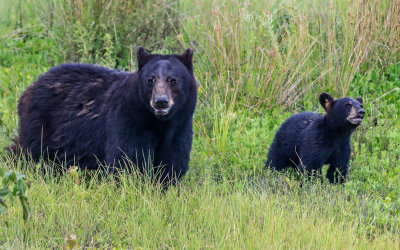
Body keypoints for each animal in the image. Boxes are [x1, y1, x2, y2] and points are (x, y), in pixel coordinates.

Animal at [12, 47, 198, 184]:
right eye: (150, 80)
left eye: (172, 80)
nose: (161, 102)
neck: (158, 122)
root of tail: (32, 85)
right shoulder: (128, 120)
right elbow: (127, 160)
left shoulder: (180, 127)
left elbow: (171, 162)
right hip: (41, 124)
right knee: (30, 152)